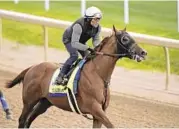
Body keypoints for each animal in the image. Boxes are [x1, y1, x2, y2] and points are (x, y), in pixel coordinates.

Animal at [5, 25, 148, 128]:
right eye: (125, 39)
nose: (143, 52)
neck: (98, 74)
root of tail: (32, 67)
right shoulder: (95, 108)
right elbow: (112, 126)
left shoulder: (99, 114)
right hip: (29, 100)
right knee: (22, 119)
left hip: (44, 102)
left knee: (28, 120)